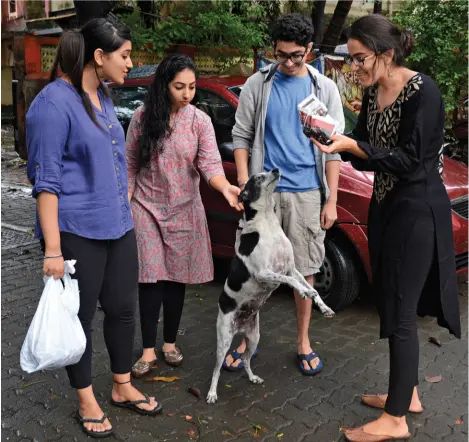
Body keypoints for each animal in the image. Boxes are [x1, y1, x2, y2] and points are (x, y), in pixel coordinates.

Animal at [207, 167, 334, 402]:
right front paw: (304, 292)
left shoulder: (291, 267)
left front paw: (322, 305)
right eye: (257, 178)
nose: (276, 169)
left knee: (246, 360)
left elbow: (310, 287)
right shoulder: (265, 273)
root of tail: (240, 326)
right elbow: (291, 282)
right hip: (224, 340)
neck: (266, 222)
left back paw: (252, 377)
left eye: (265, 171)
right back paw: (211, 393)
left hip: (254, 337)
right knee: (217, 369)